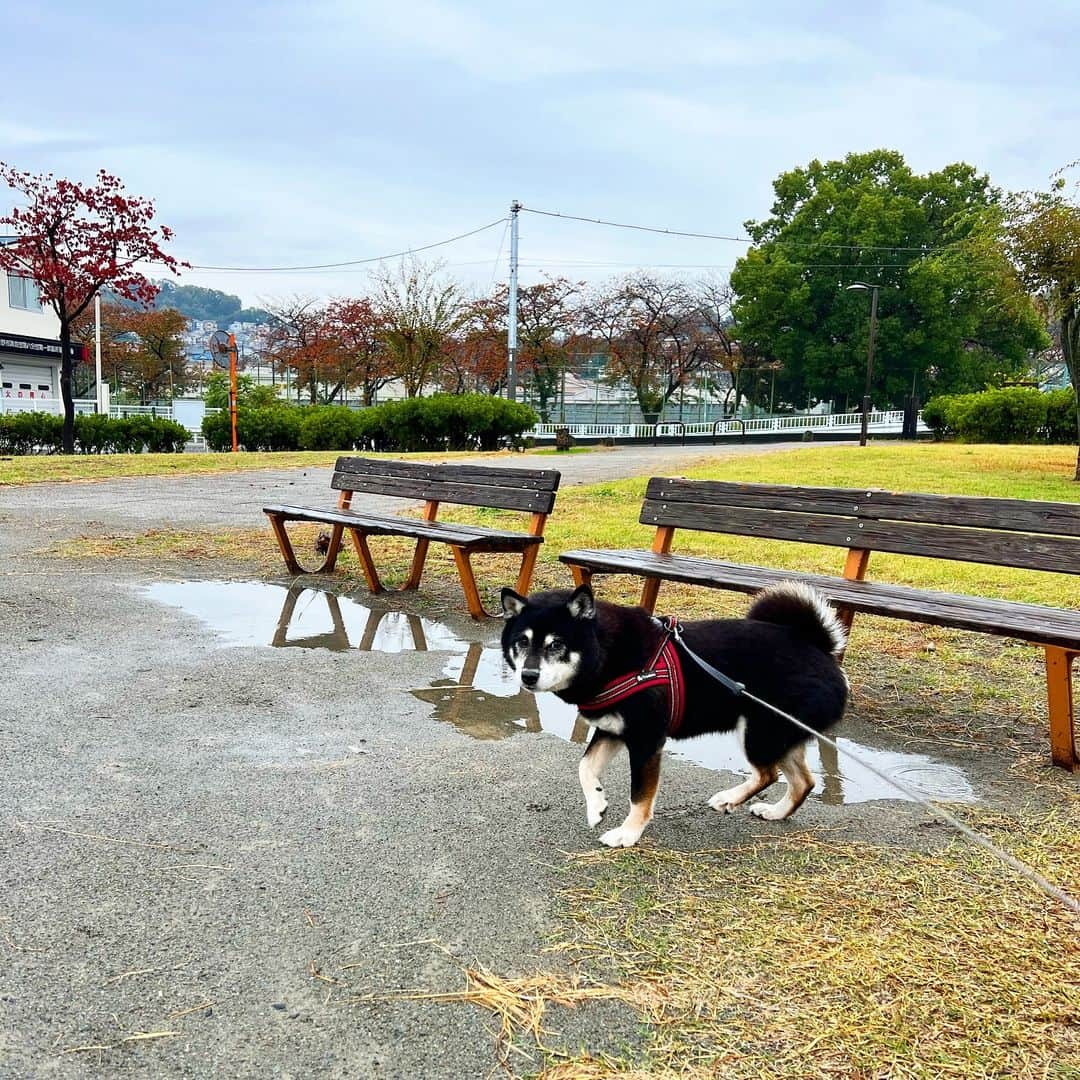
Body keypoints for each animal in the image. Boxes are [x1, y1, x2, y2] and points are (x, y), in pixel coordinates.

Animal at [501, 583, 846, 842]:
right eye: (522, 642)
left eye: (556, 644)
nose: (528, 676)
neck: (609, 655)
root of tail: (817, 646)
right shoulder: (613, 730)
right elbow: (585, 767)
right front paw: (596, 805)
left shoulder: (645, 740)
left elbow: (640, 796)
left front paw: (628, 834)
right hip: (778, 735)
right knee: (802, 782)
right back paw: (775, 812)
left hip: (759, 734)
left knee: (768, 774)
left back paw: (729, 798)